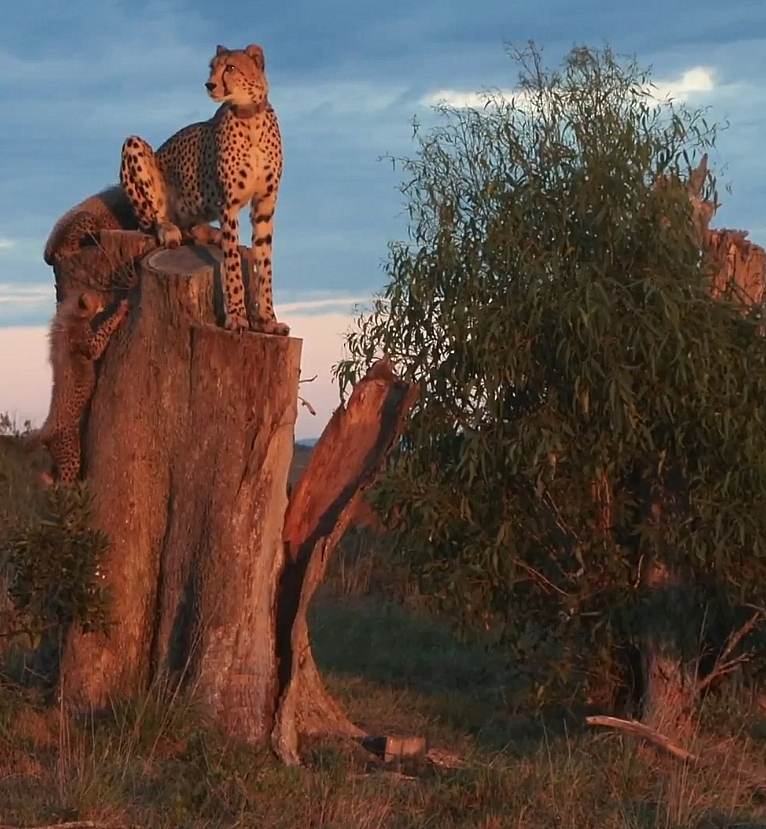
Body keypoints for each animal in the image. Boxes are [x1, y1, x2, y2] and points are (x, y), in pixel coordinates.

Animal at [25, 291, 130, 485]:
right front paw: (121, 310)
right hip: (70, 453)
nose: (106, 299)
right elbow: (104, 328)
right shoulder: (91, 345)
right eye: (96, 297)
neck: (71, 315)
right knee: (64, 482)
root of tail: (44, 429)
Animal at [119, 43, 288, 335]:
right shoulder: (227, 205)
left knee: (196, 229)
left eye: (230, 67)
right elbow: (232, 264)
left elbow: (264, 263)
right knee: (155, 219)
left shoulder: (265, 204)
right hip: (134, 144)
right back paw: (169, 230)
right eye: (212, 68)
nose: (209, 84)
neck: (250, 117)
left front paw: (268, 319)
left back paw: (211, 233)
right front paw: (237, 316)